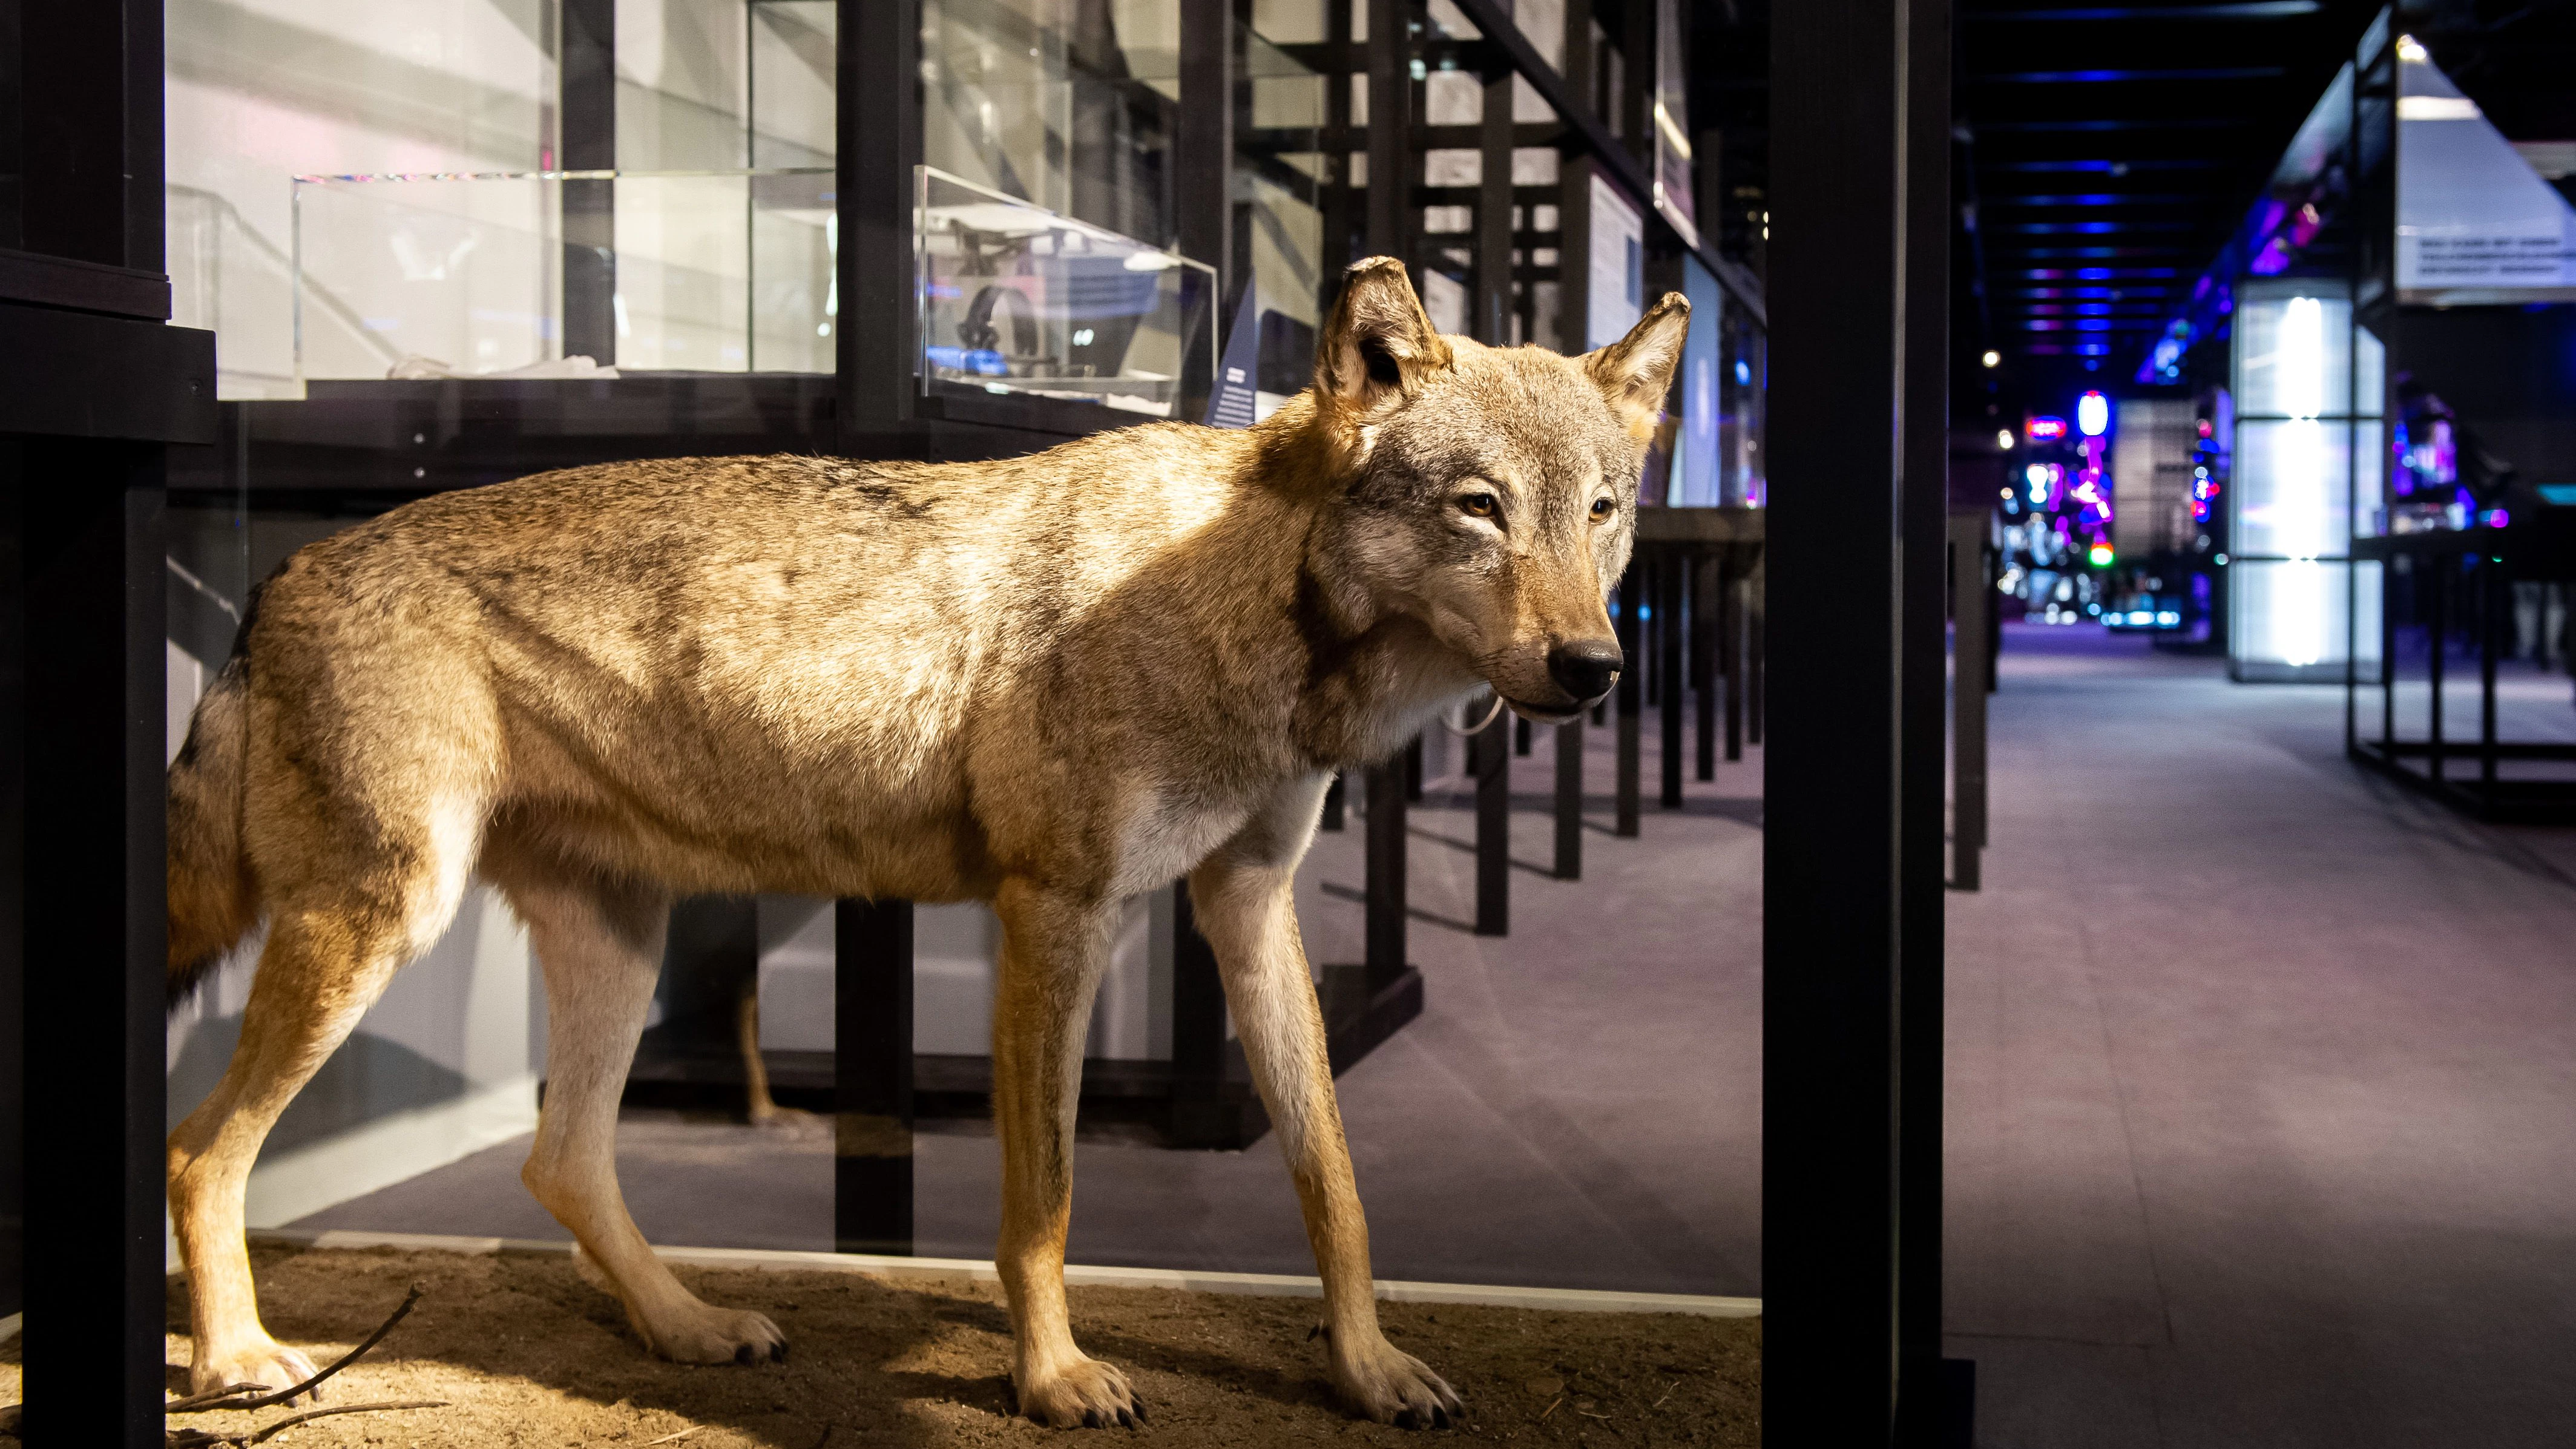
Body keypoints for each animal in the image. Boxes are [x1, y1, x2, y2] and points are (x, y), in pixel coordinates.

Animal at [164, 258, 1686, 1428]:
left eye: (1598, 512)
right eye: (1479, 506)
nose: (1596, 669)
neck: (1248, 585)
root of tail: (278, 575)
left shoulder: (1248, 906)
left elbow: (1334, 1179)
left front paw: (1368, 1370)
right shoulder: (1055, 913)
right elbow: (1043, 1203)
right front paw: (1056, 1379)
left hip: (618, 949)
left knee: (559, 1161)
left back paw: (689, 1327)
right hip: (381, 927)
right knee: (199, 1150)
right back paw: (238, 1361)